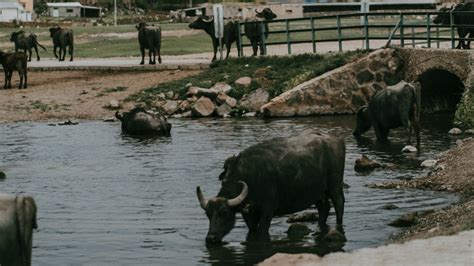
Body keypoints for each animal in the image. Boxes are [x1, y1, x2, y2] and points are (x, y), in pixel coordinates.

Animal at [194, 131, 346, 243]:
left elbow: (263, 231)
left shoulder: (268, 210)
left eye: (224, 213)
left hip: (335, 185)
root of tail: (336, 139)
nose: (210, 238)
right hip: (317, 193)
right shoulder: (248, 214)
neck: (251, 175)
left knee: (339, 204)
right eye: (208, 214)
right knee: (324, 208)